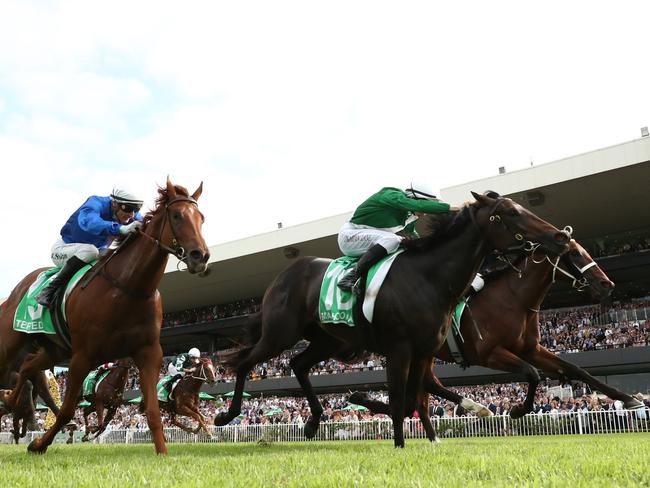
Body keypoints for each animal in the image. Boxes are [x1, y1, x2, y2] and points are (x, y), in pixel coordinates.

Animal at [0, 178, 208, 454]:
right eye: (176, 215)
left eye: (201, 218)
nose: (200, 256)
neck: (128, 288)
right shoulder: (82, 356)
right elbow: (67, 411)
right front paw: (41, 442)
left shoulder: (149, 353)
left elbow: (153, 412)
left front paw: (163, 454)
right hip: (11, 341)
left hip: (54, 349)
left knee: (27, 368)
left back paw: (10, 399)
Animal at [216, 193, 568, 448]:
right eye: (511, 212)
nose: (560, 235)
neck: (429, 278)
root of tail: (283, 275)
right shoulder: (399, 348)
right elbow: (401, 398)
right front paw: (398, 444)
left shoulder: (424, 350)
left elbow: (413, 397)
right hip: (280, 334)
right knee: (246, 362)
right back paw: (226, 415)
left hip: (329, 340)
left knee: (298, 364)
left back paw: (314, 420)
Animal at [350, 238, 644, 422]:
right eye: (574, 254)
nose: (607, 284)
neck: (514, 299)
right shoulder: (488, 353)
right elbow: (532, 373)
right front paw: (518, 410)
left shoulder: (530, 348)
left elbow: (576, 369)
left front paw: (629, 398)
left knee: (427, 383)